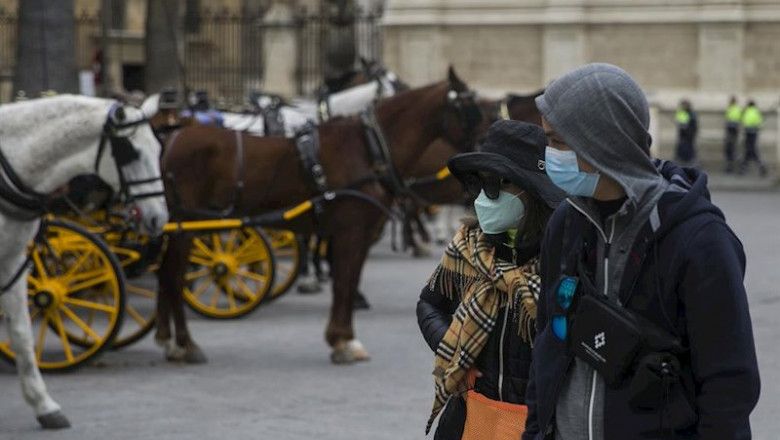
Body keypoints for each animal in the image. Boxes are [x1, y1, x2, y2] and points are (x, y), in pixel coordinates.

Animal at [0, 94, 169, 428]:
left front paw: (44, 405)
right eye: (131, 153)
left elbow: (22, 335)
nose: (159, 217)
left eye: (158, 149)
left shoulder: (12, 261)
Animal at [154, 69, 482, 364]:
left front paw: (342, 337)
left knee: (166, 272)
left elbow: (348, 280)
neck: (366, 147)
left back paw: (168, 340)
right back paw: (185, 343)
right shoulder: (350, 231)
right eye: (472, 109)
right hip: (186, 225)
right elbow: (344, 282)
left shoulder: (358, 233)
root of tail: (174, 137)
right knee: (172, 273)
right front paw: (343, 341)